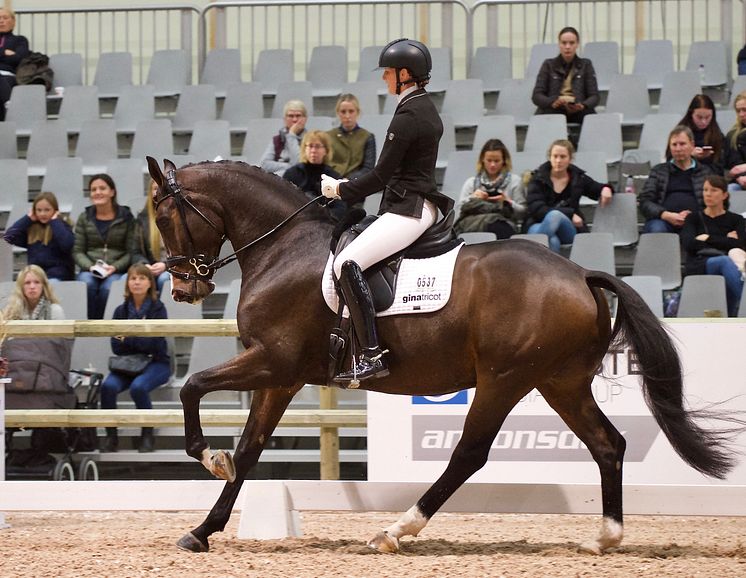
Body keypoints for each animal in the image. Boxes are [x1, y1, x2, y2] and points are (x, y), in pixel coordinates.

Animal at [144, 156, 732, 552]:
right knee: (608, 445)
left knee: (469, 454)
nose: (184, 289)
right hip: (560, 382)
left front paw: (207, 455)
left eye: (164, 215)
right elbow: (248, 452)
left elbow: (194, 387)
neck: (283, 249)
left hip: (504, 379)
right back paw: (605, 537)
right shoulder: (280, 376)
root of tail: (580, 273)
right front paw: (202, 530)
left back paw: (395, 530)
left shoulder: (274, 360)